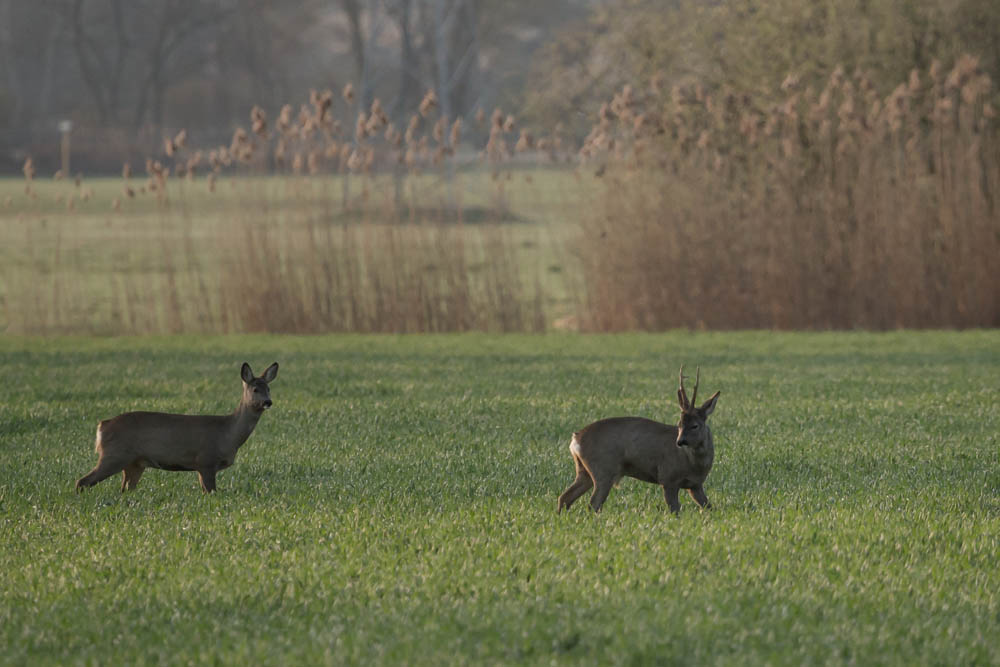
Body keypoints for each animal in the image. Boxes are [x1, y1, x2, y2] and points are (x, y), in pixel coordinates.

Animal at [74, 362, 280, 494]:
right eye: (255, 389)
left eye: (269, 389)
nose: (268, 402)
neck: (228, 434)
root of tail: (102, 425)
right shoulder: (205, 461)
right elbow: (211, 492)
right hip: (114, 455)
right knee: (82, 481)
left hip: (134, 463)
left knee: (124, 490)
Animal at [556, 366, 720, 516]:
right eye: (679, 424)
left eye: (694, 425)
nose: (680, 441)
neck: (693, 464)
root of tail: (575, 439)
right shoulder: (668, 478)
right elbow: (675, 510)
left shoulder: (695, 485)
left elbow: (709, 507)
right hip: (603, 470)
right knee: (593, 504)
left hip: (584, 470)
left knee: (565, 497)